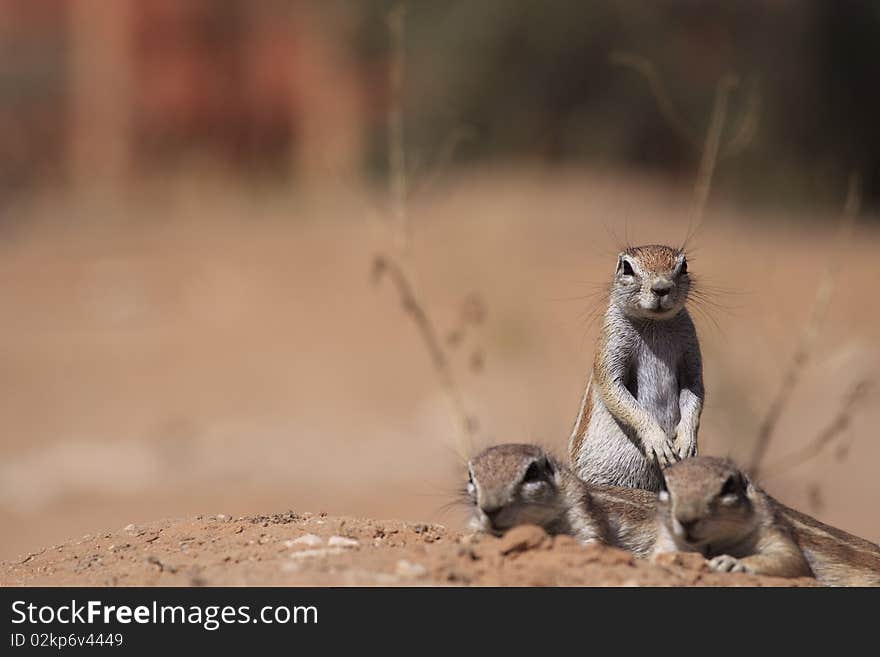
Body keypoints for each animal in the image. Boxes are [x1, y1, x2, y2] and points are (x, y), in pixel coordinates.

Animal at [572, 243, 700, 490]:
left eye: (684, 266)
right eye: (627, 268)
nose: (661, 288)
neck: (654, 322)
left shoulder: (691, 347)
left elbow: (695, 390)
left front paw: (686, 441)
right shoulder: (611, 341)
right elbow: (614, 388)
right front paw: (657, 440)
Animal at [656, 456, 880, 584]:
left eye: (729, 486)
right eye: (665, 486)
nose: (686, 519)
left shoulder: (772, 530)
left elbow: (791, 560)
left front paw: (733, 563)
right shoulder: (667, 541)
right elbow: (659, 558)